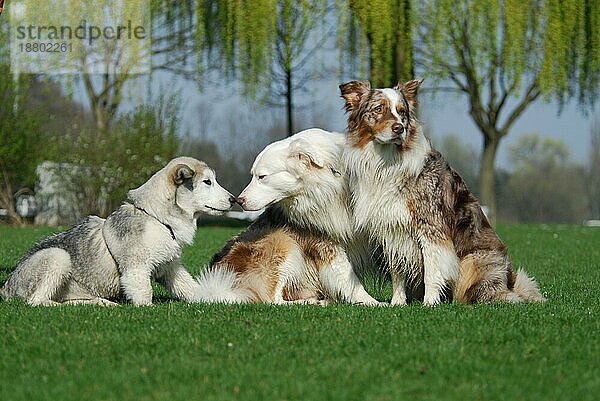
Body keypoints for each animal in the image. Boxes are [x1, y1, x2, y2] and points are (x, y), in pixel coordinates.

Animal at [0, 157, 234, 306]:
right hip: (58, 256)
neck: (156, 218)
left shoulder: (172, 268)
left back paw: (101, 303)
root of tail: (7, 287)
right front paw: (149, 310)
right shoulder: (136, 270)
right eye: (207, 182)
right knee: (35, 301)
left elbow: (192, 288)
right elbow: (145, 294)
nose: (233, 199)